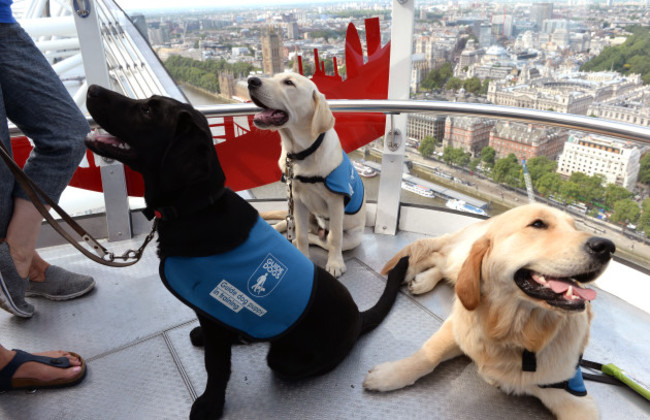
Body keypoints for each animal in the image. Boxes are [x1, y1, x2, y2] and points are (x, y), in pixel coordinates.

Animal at [247, 73, 364, 278]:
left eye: (289, 83)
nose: (251, 80)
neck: (301, 153)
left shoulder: (335, 203)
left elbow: (334, 237)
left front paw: (335, 264)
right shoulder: (298, 199)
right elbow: (301, 235)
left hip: (352, 237)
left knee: (323, 239)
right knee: (288, 225)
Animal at [362, 202, 616, 418]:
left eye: (574, 227)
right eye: (538, 224)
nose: (607, 247)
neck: (515, 330)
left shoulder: (575, 396)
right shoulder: (459, 327)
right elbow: (429, 355)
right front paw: (389, 376)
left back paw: (423, 280)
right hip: (460, 260)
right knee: (439, 255)